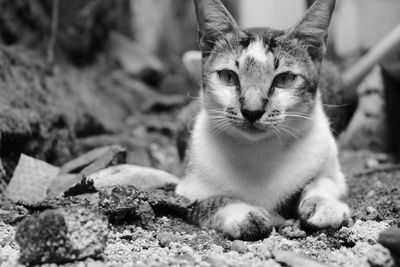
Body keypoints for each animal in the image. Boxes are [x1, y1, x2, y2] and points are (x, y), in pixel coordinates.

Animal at [175, 0, 350, 242]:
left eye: (284, 78)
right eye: (228, 76)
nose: (252, 110)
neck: (258, 149)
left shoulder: (331, 167)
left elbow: (323, 182)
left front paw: (324, 205)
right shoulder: (184, 192)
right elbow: (212, 201)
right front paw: (244, 214)